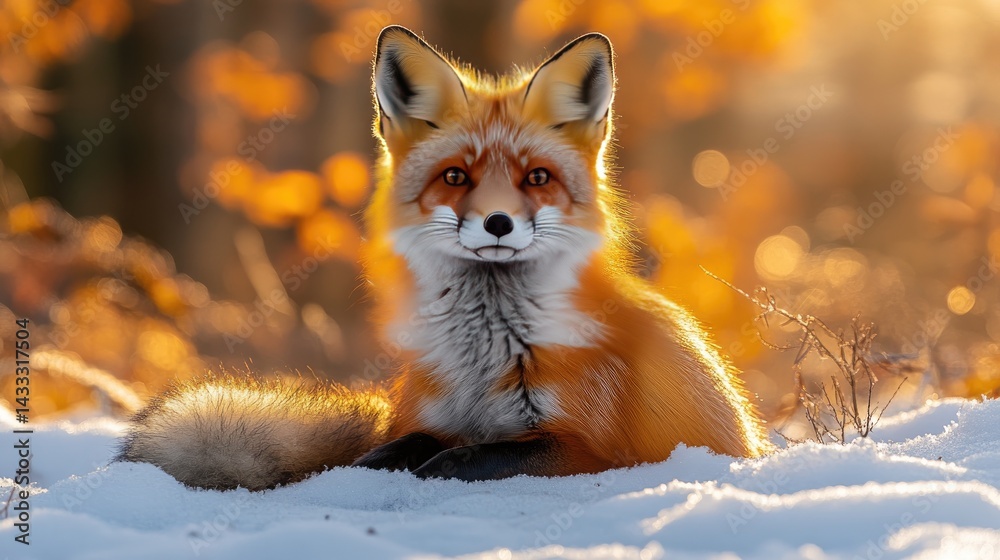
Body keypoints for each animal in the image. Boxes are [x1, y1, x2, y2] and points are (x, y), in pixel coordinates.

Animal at [117, 26, 774, 491]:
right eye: (456, 176)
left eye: (536, 178)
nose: (498, 222)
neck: (483, 360)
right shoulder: (420, 419)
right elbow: (393, 448)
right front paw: (365, 472)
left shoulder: (593, 448)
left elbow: (478, 454)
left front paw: (439, 470)